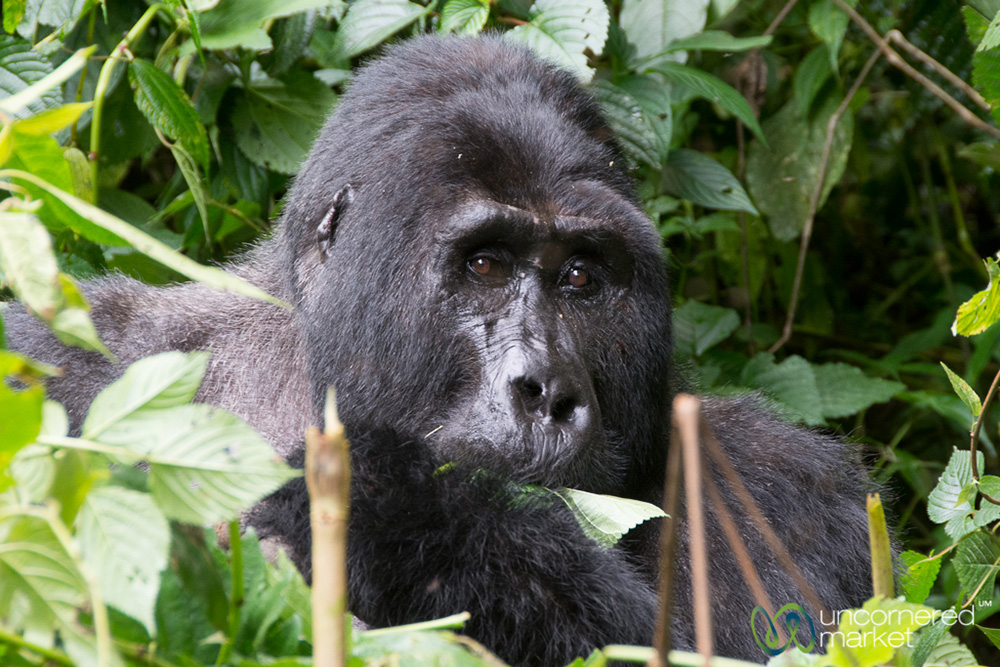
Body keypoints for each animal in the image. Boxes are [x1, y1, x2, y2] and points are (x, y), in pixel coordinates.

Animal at [3, 35, 872, 667]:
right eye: (484, 265)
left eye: (582, 277)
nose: (548, 391)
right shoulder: (69, 358)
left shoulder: (783, 484)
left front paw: (392, 513)